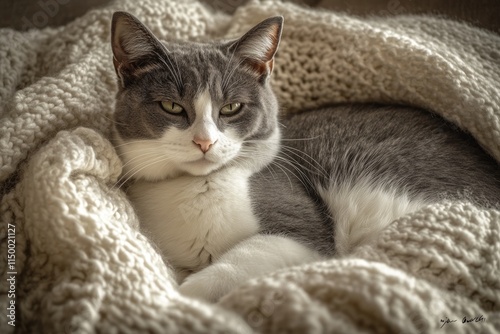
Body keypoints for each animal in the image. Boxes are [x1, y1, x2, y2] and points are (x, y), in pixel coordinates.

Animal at [111, 11, 500, 302]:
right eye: (172, 107)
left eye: (232, 108)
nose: (205, 142)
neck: (193, 189)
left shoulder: (301, 228)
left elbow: (242, 258)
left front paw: (179, 296)